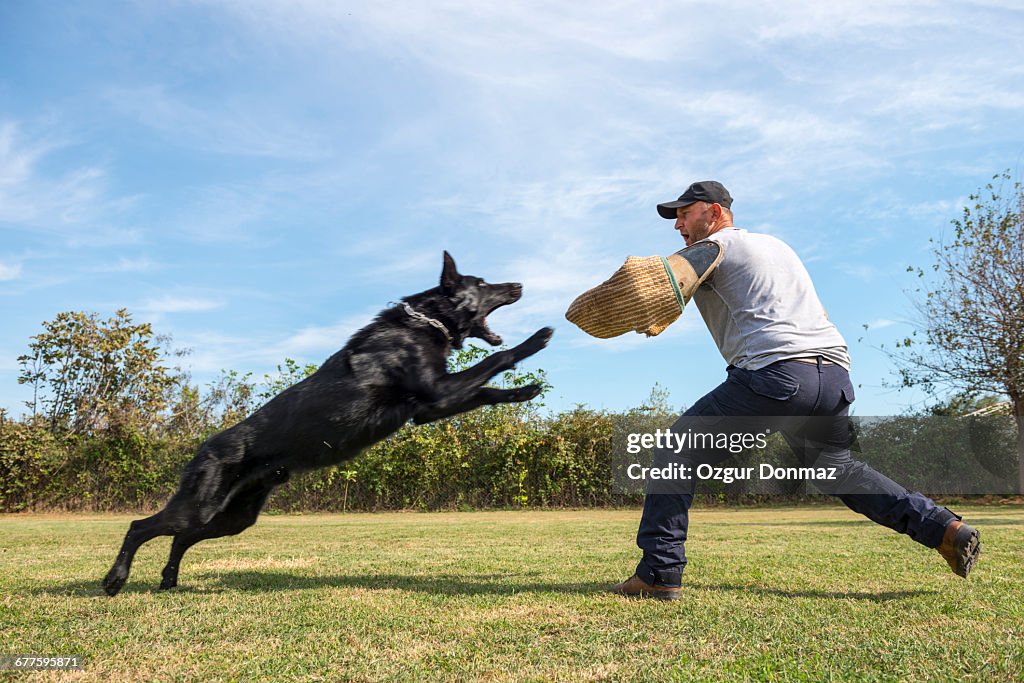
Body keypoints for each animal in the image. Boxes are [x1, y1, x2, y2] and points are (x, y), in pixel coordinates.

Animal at [103, 253, 552, 593]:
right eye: (482, 282)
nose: (518, 285)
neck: (422, 324)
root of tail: (203, 447)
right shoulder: (437, 395)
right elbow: (497, 358)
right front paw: (537, 338)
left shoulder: (431, 406)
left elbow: (488, 389)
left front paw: (525, 391)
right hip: (199, 505)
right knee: (141, 527)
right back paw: (115, 580)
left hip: (232, 517)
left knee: (180, 538)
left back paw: (168, 579)